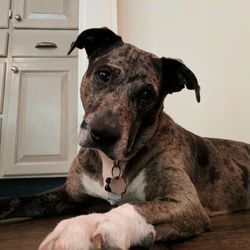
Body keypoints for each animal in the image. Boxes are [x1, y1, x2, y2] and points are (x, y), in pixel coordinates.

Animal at [0, 28, 250, 249]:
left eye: (147, 93)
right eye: (103, 74)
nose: (103, 134)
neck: (112, 163)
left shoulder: (186, 203)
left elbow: (131, 206)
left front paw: (85, 227)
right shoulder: (70, 194)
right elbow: (18, 200)